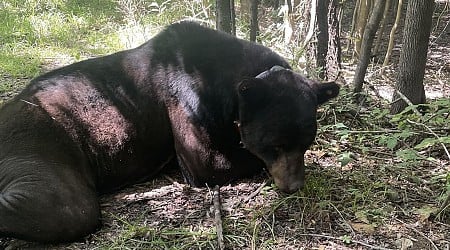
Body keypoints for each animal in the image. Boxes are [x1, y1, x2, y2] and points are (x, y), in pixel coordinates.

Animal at [0, 22, 338, 242]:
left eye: (306, 142)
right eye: (275, 145)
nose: (294, 186)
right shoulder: (187, 107)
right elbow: (213, 162)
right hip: (39, 139)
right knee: (67, 207)